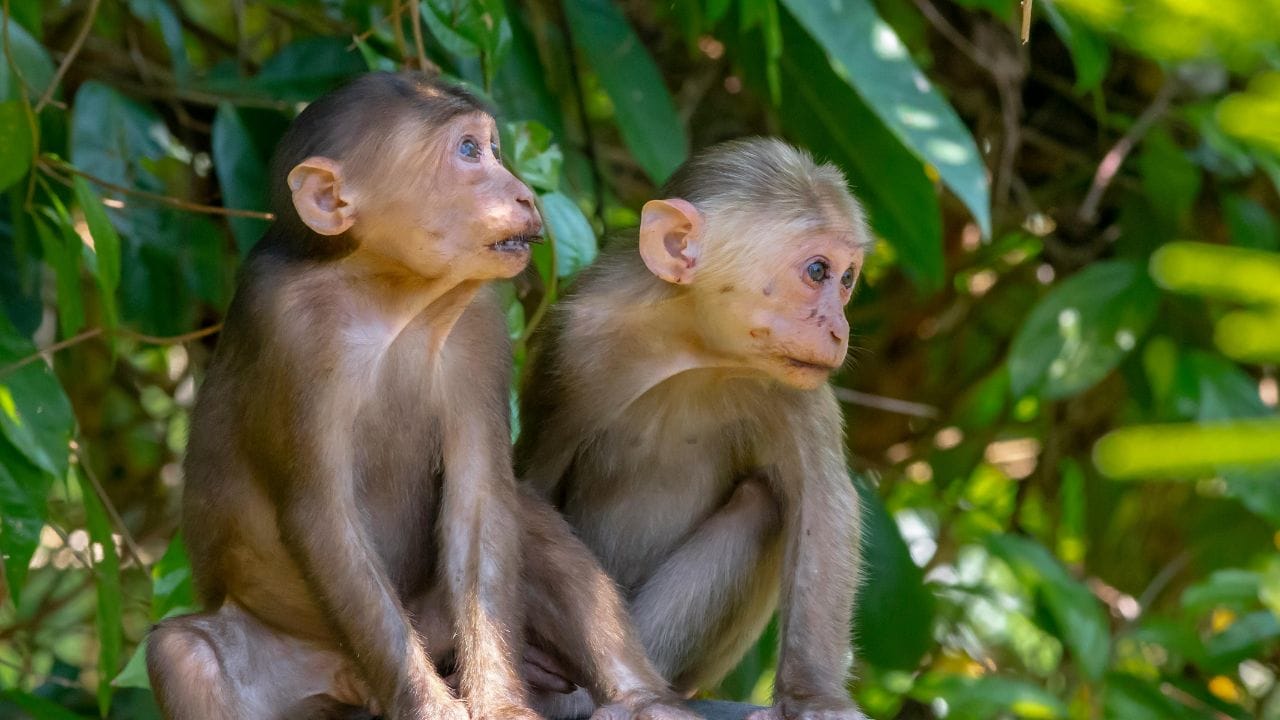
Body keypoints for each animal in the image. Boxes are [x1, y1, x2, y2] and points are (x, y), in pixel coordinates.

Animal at [145, 72, 695, 720]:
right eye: (469, 151)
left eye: (495, 149)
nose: (522, 194)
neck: (392, 297)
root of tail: (344, 685)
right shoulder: (287, 325)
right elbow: (321, 514)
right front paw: (430, 708)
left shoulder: (480, 325)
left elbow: (480, 498)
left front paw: (501, 704)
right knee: (185, 655)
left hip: (434, 631)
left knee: (525, 519)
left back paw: (641, 698)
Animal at [516, 138, 871, 720]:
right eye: (818, 271)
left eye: (847, 279)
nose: (839, 328)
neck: (692, 348)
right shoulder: (573, 342)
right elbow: (529, 484)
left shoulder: (795, 387)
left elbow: (822, 504)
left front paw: (814, 697)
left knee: (761, 503)